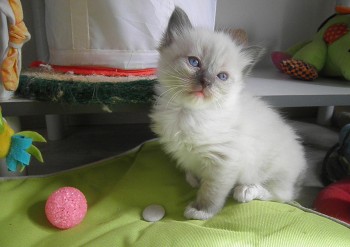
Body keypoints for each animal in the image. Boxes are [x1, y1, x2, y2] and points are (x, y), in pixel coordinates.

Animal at [149, 7, 304, 220]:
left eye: (222, 76)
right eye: (194, 62)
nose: (206, 82)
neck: (189, 113)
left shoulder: (223, 161)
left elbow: (211, 191)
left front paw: (201, 211)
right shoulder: (187, 154)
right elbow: (192, 171)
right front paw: (194, 179)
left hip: (272, 170)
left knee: (282, 195)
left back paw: (246, 190)